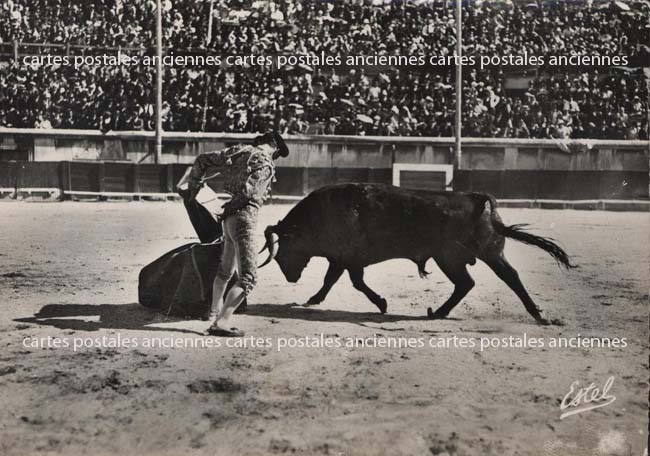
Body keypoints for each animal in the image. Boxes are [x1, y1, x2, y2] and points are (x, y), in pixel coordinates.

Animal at [258, 183, 572, 324]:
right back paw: (438, 313)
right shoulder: (345, 260)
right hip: (454, 258)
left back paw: (538, 315)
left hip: (474, 255)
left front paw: (381, 303)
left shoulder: (346, 258)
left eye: (284, 245)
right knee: (466, 283)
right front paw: (314, 299)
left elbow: (347, 281)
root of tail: (480, 199)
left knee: (508, 278)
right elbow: (338, 280)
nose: (289, 276)